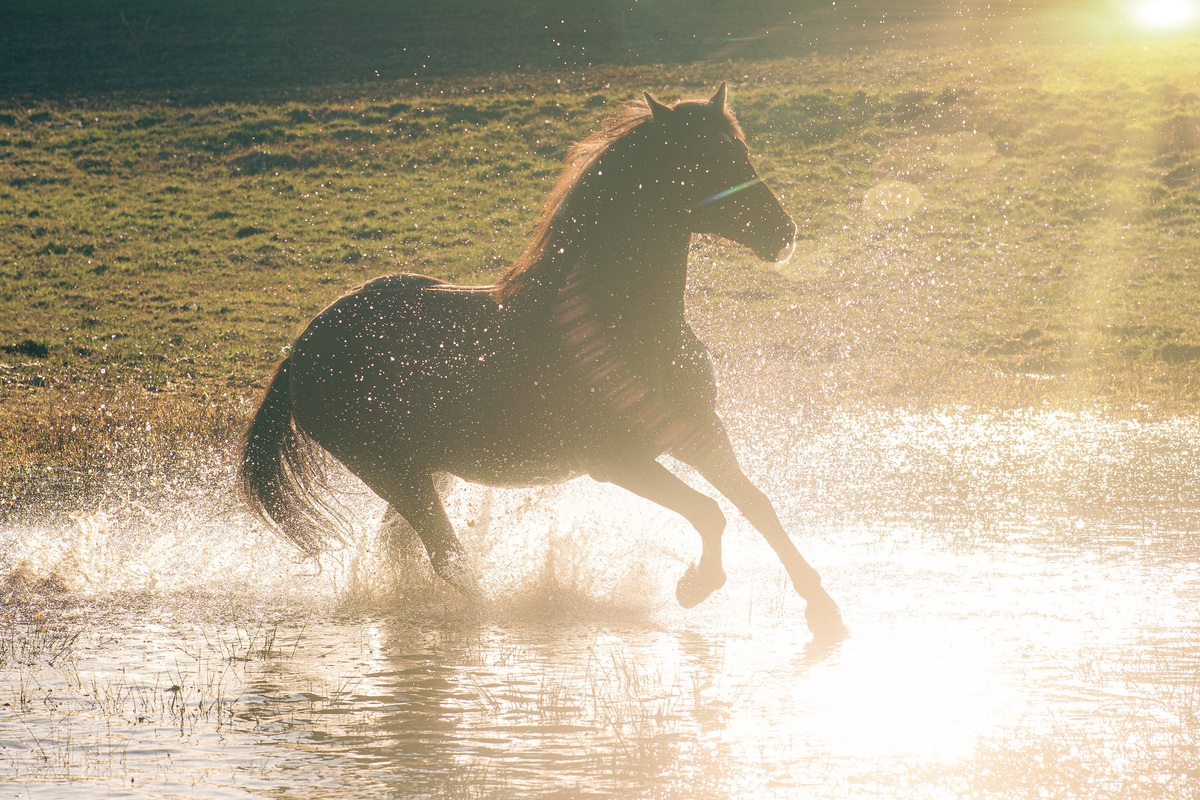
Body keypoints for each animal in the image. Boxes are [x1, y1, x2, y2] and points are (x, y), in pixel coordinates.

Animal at [238, 84, 849, 642]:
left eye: (740, 151)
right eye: (699, 162)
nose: (783, 233)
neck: (621, 318)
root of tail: (300, 351)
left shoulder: (697, 428)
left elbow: (756, 504)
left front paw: (824, 610)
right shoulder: (617, 461)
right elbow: (710, 512)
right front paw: (694, 585)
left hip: (424, 470)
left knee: (414, 551)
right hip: (393, 471)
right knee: (449, 558)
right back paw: (493, 621)